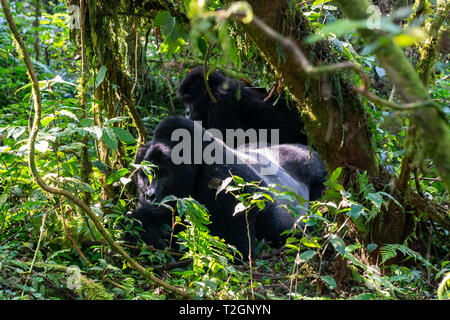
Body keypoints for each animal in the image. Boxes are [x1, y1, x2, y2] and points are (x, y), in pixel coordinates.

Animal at [128, 116, 326, 258]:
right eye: (146, 175)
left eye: (163, 174)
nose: (151, 194)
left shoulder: (225, 179)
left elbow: (232, 246)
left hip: (305, 157)